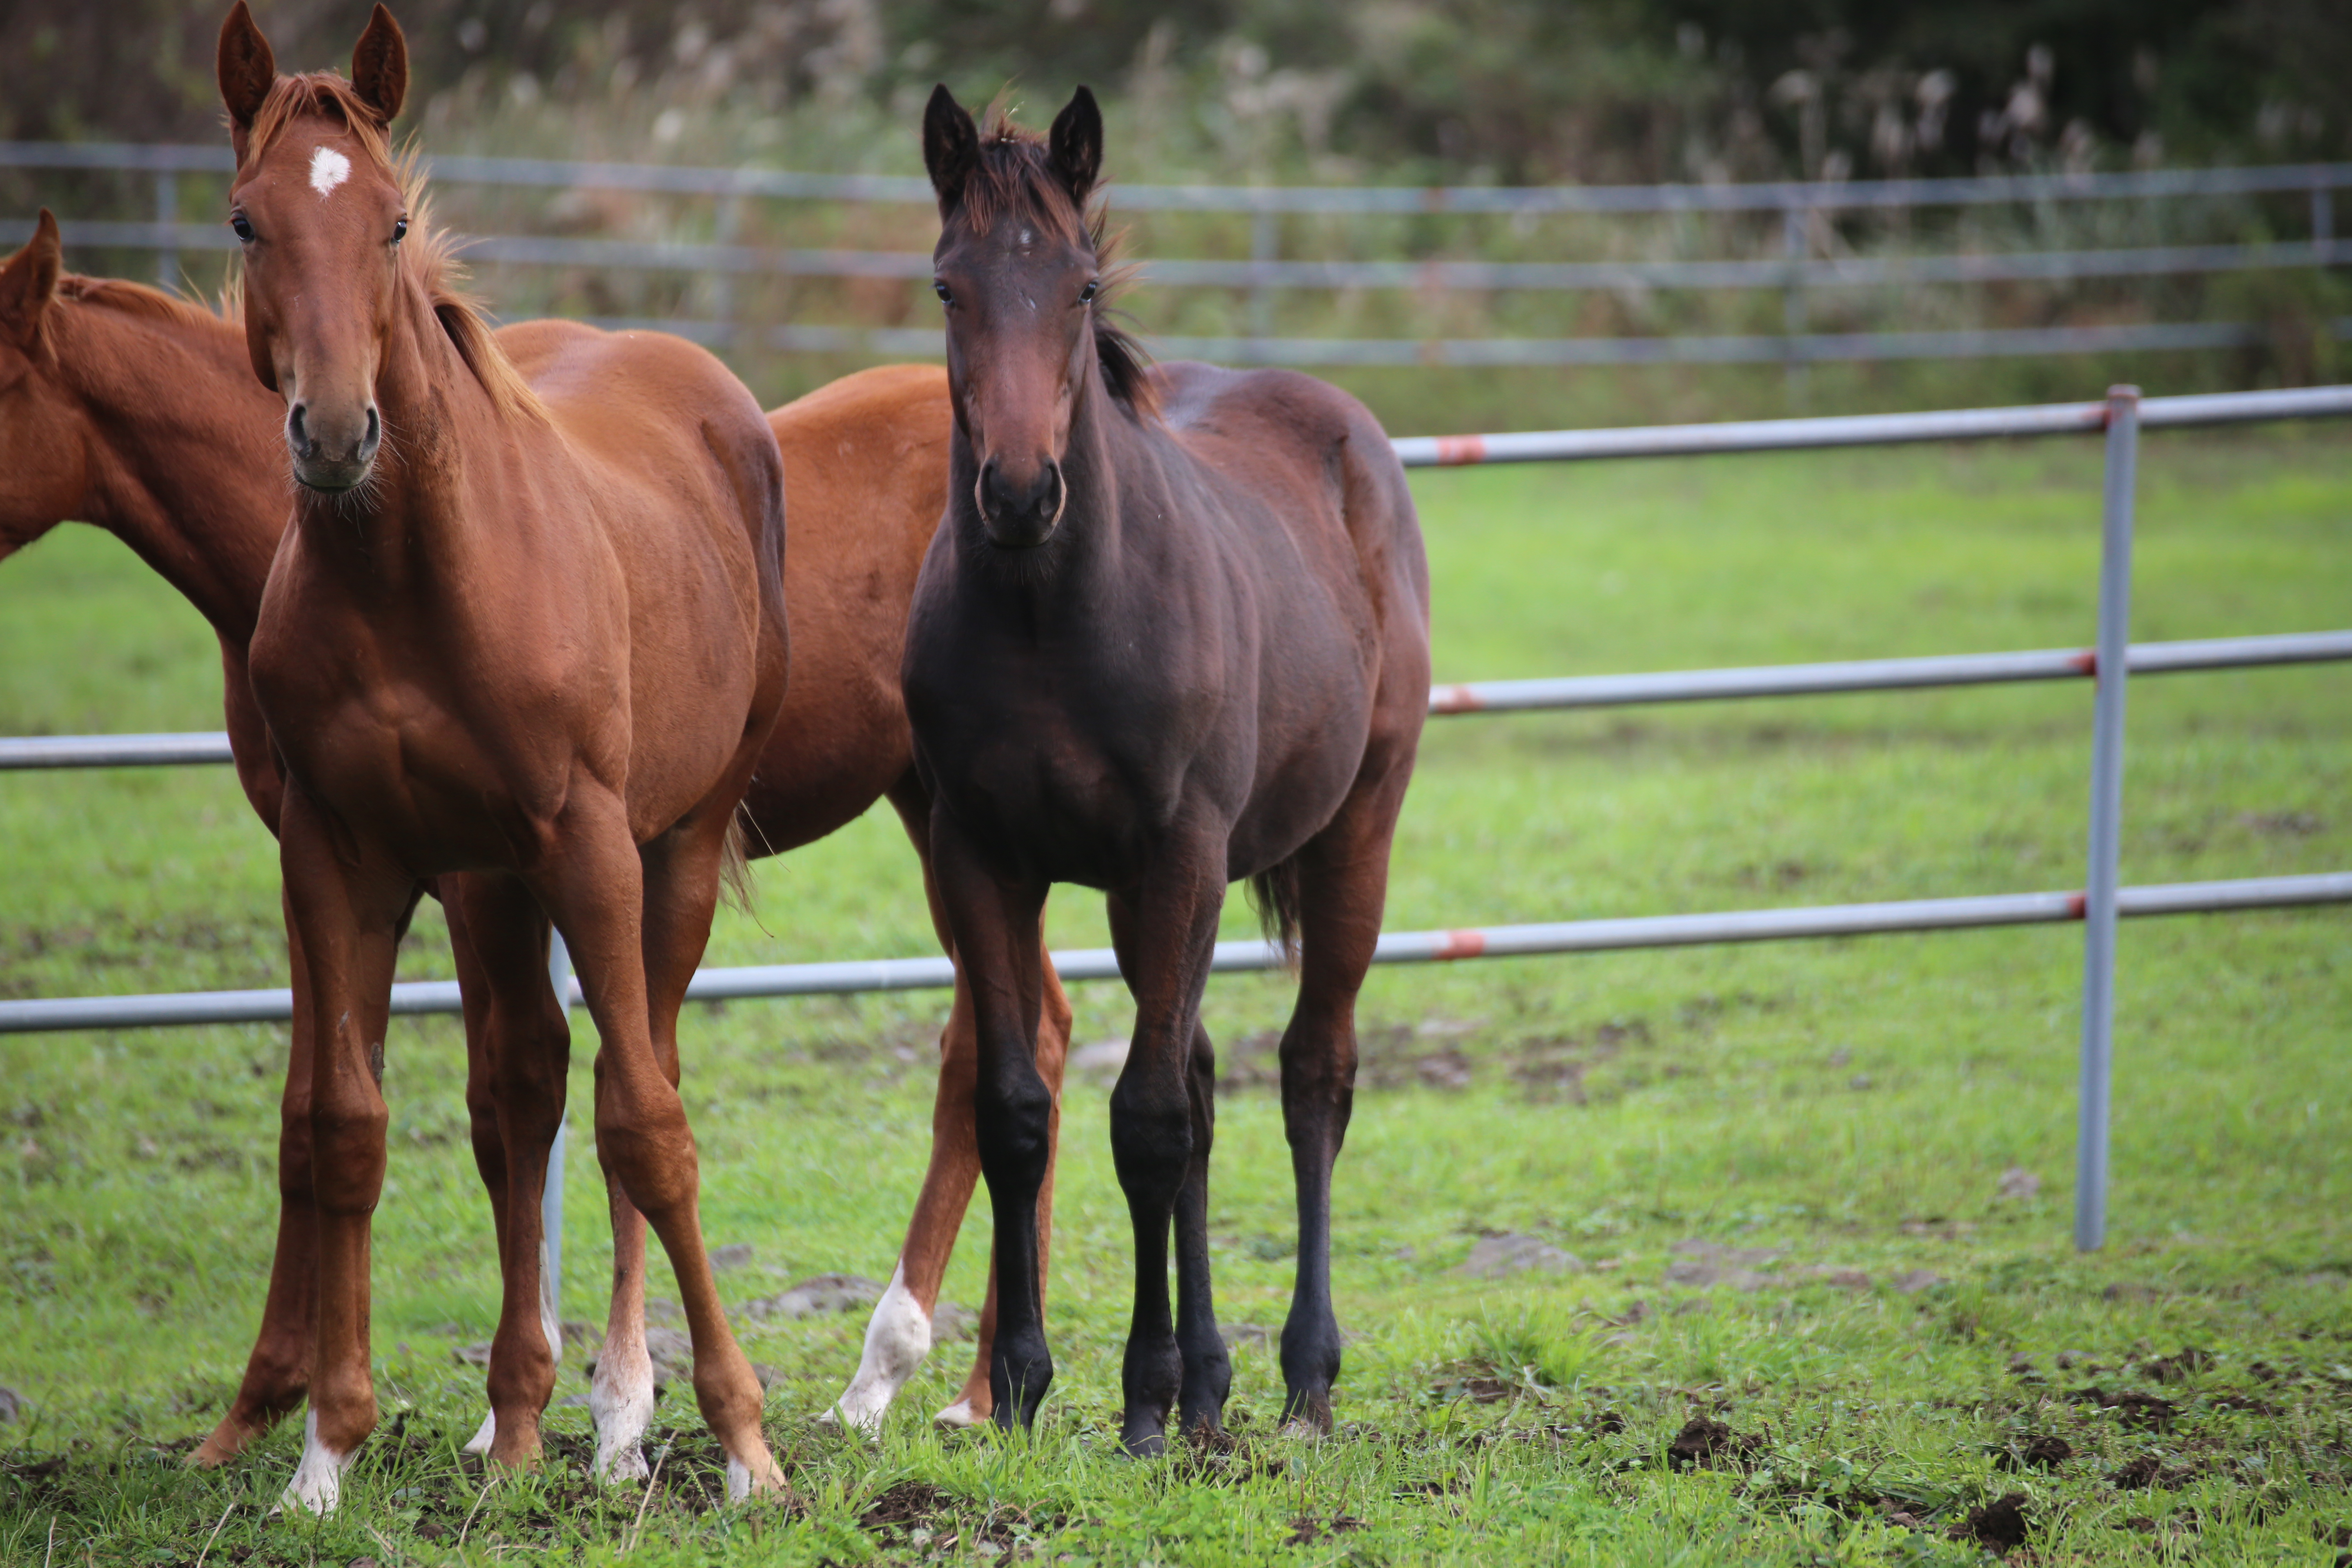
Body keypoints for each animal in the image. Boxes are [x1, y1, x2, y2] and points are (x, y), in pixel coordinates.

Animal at [903, 89, 1430, 1457]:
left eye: (1081, 285)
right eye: (947, 285)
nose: (1019, 491)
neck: (1050, 618)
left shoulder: (1180, 850)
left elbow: (1144, 1123)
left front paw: (1140, 1399)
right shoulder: (980, 857)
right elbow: (1018, 1111)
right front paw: (1025, 1385)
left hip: (1354, 832)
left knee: (1311, 1075)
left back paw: (1302, 1377)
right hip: (1155, 900)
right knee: (1198, 1075)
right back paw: (1211, 1384)